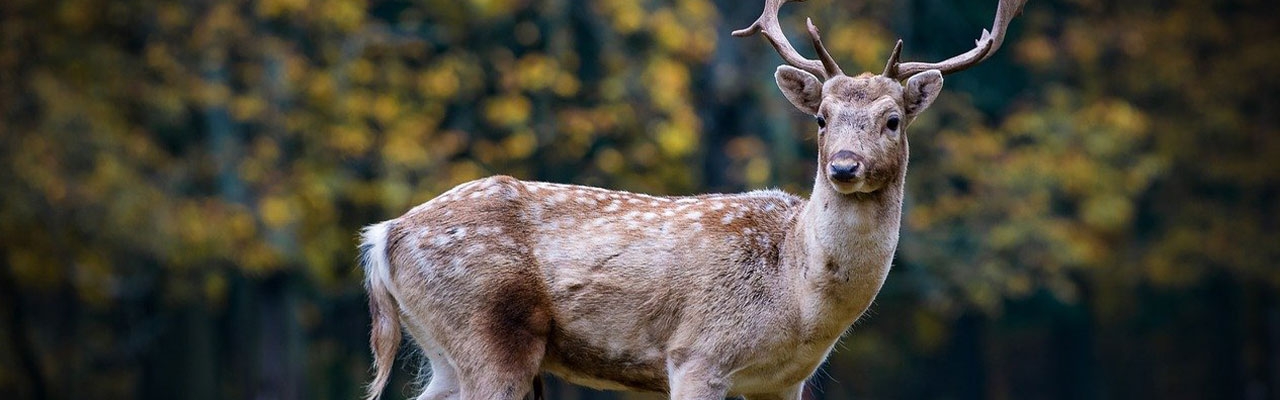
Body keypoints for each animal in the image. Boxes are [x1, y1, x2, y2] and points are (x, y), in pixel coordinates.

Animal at [360, 1, 1029, 397]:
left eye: (892, 120)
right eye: (821, 118)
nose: (843, 166)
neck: (798, 298)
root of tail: (384, 234)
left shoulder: (783, 384)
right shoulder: (696, 356)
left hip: (446, 351)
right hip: (489, 333)